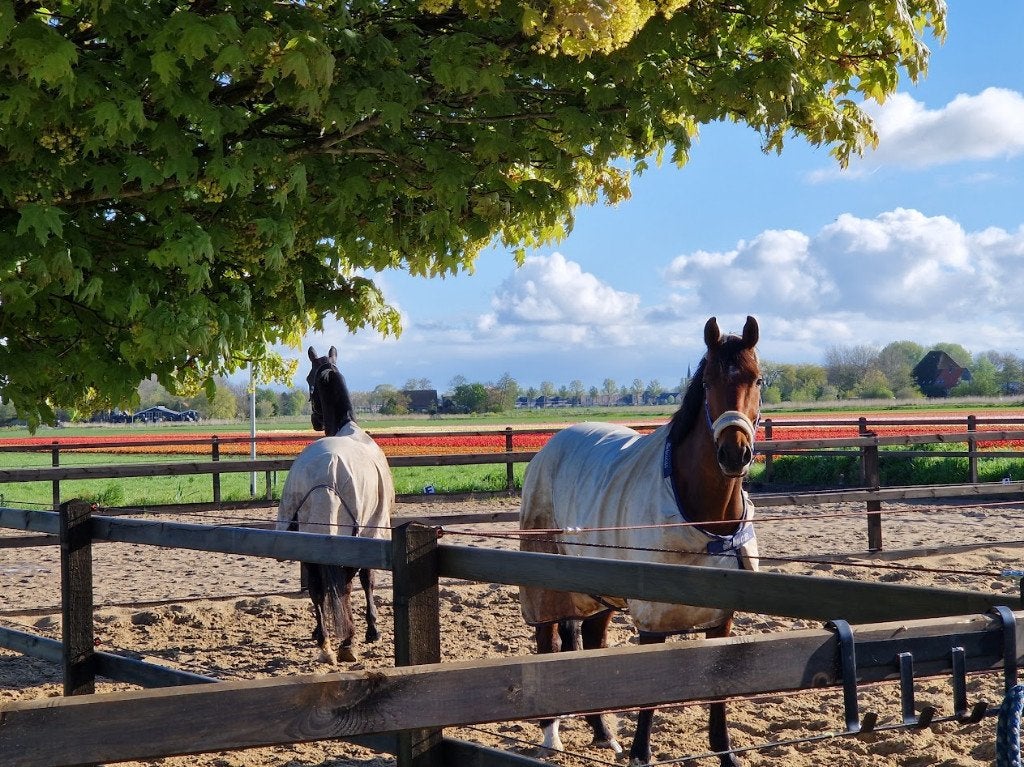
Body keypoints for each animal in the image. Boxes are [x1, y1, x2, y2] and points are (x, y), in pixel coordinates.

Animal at [276, 346, 394, 664]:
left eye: (308, 378)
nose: (315, 420)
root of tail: (326, 472)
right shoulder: (372, 530)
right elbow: (367, 579)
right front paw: (373, 630)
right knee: (344, 584)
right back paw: (346, 642)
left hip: (308, 538)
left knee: (318, 588)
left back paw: (326, 641)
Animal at [519, 316, 762, 767]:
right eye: (707, 382)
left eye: (757, 379)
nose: (734, 453)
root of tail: (550, 447)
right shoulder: (652, 621)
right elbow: (651, 692)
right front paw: (641, 755)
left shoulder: (722, 620)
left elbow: (719, 690)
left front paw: (726, 754)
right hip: (547, 585)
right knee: (547, 642)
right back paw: (550, 736)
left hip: (598, 591)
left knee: (591, 642)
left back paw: (603, 734)